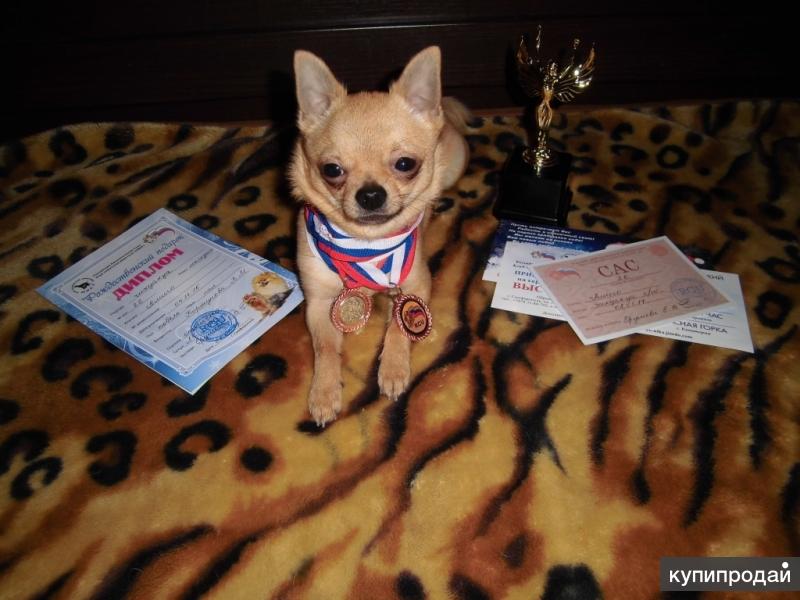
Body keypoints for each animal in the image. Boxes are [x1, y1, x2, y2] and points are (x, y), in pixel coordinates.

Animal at [289, 46, 469, 425]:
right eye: (331, 170)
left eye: (405, 164)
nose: (370, 194)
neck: (365, 244)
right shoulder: (319, 303)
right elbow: (324, 348)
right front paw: (324, 391)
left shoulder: (415, 286)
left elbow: (399, 327)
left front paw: (393, 368)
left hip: (454, 165)